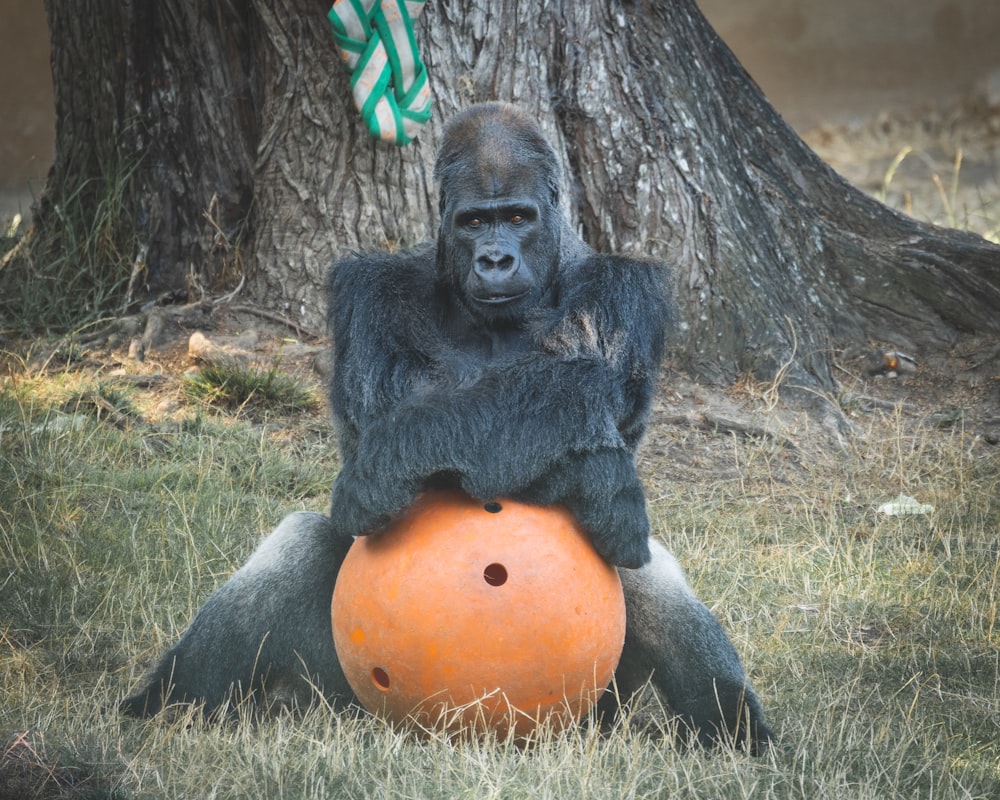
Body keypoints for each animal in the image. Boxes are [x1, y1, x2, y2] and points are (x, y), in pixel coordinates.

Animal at [119, 103, 772, 752]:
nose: (495, 259)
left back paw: (738, 734)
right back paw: (164, 706)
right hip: (338, 696)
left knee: (645, 568)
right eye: (474, 223)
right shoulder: (372, 285)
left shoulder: (622, 289)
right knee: (299, 541)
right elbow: (390, 417)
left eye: (517, 218)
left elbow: (585, 391)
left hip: (595, 714)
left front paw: (603, 479)